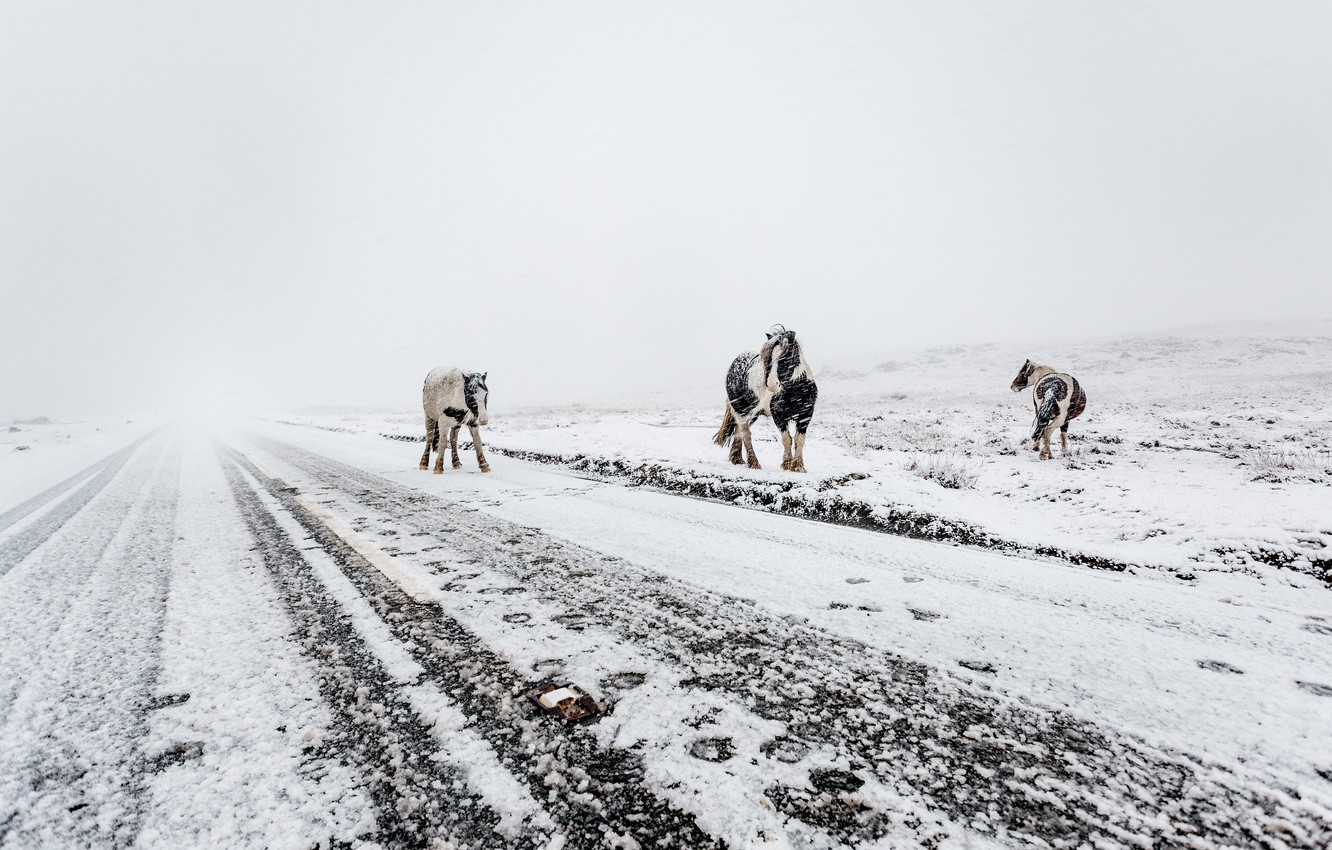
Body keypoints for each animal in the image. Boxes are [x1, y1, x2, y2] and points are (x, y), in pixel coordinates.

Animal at [713, 325, 815, 474]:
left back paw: (737, 459)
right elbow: (787, 439)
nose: (772, 385)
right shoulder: (778, 415)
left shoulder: (805, 415)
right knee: (745, 433)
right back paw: (753, 463)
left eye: (786, 356)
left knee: (739, 431)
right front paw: (787, 464)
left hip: (753, 414)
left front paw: (798, 466)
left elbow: (799, 439)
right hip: (741, 411)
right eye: (768, 359)